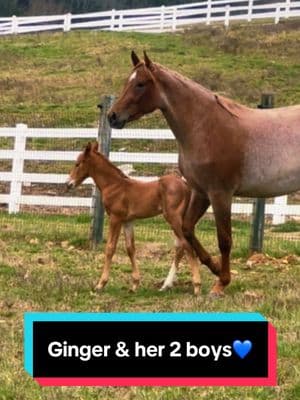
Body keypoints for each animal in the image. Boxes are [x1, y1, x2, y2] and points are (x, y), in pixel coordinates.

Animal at [66, 143, 202, 294]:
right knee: (180, 248)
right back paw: (166, 285)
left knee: (186, 246)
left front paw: (101, 284)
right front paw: (135, 284)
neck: (114, 185)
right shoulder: (128, 221)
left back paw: (196, 285)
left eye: (78, 163)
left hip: (173, 219)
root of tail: (185, 185)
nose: (69, 184)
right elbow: (130, 248)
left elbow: (110, 248)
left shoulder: (115, 218)